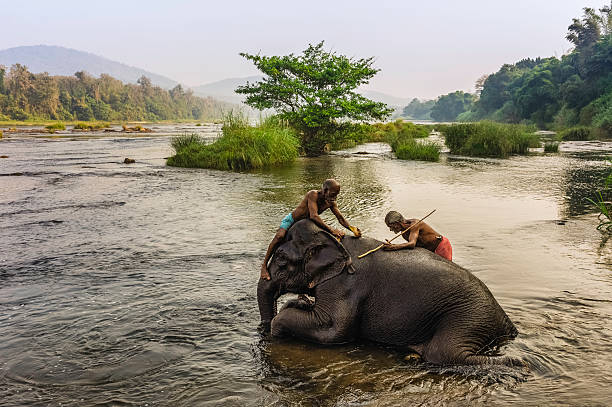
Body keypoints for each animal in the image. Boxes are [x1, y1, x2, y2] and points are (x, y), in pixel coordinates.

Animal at [258, 222, 520, 368]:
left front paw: (276, 328)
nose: (262, 330)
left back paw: (517, 363)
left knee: (444, 353)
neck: (330, 236)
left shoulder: (347, 284)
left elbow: (333, 329)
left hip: (468, 316)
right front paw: (299, 302)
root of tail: (505, 320)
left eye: (281, 259)